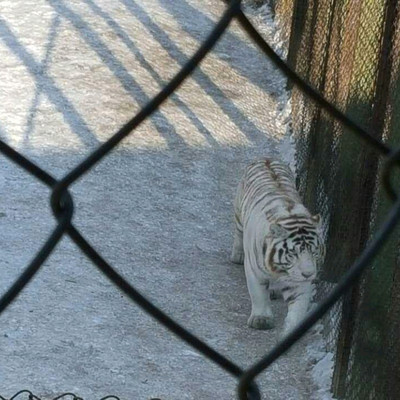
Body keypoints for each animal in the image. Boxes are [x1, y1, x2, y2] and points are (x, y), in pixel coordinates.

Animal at [231, 159, 324, 338]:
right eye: (293, 253)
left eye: (314, 252)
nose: (309, 274)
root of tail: (266, 157)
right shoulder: (254, 269)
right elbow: (258, 294)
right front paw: (261, 319)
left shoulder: (298, 280)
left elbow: (299, 304)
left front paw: (292, 328)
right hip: (239, 214)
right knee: (238, 232)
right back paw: (237, 255)